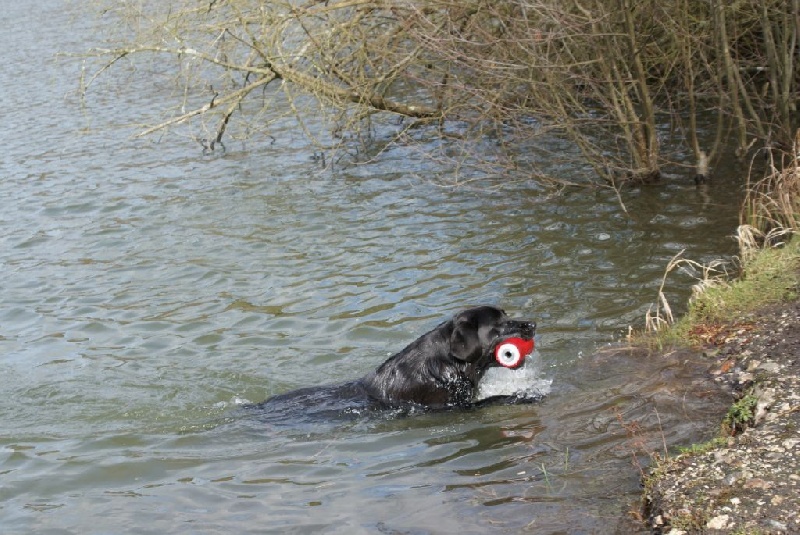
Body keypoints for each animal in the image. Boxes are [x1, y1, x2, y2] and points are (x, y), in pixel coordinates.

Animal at [250, 306, 536, 418]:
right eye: (499, 325)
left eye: (507, 316)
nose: (532, 324)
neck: (448, 364)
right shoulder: (450, 407)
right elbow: (494, 399)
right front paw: (527, 395)